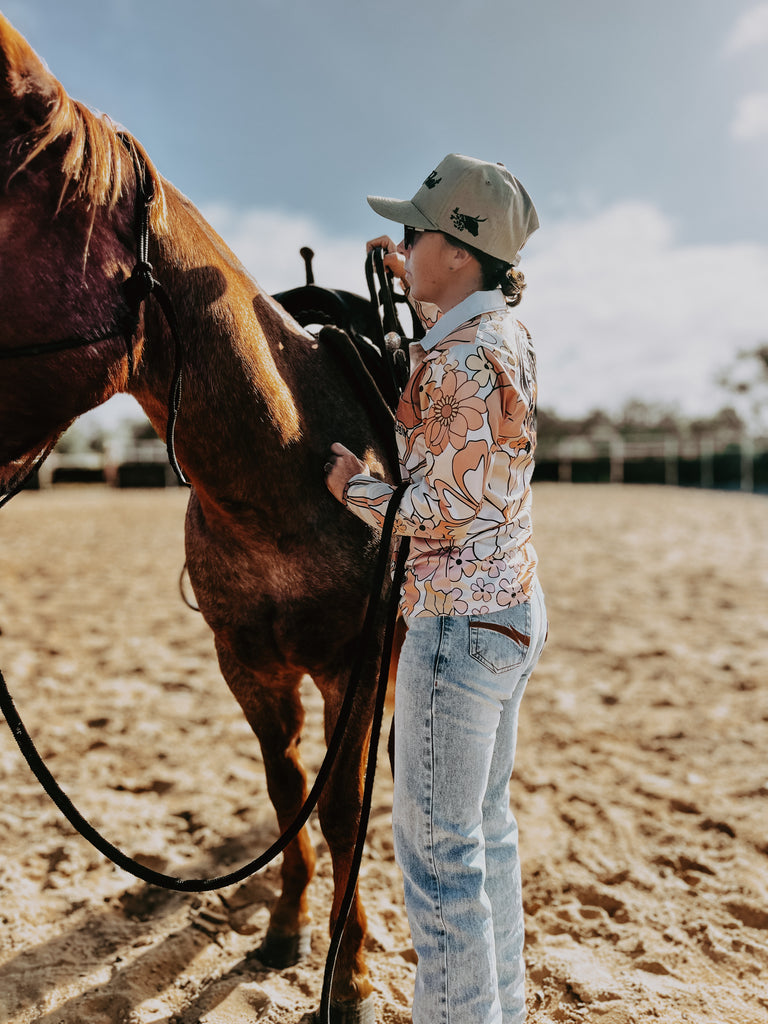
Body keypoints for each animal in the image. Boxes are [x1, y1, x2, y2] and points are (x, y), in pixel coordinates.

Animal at [0, 16, 397, 1024]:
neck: (285, 476)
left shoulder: (353, 664)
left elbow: (341, 808)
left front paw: (351, 972)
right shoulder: (248, 669)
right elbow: (288, 793)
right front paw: (287, 928)